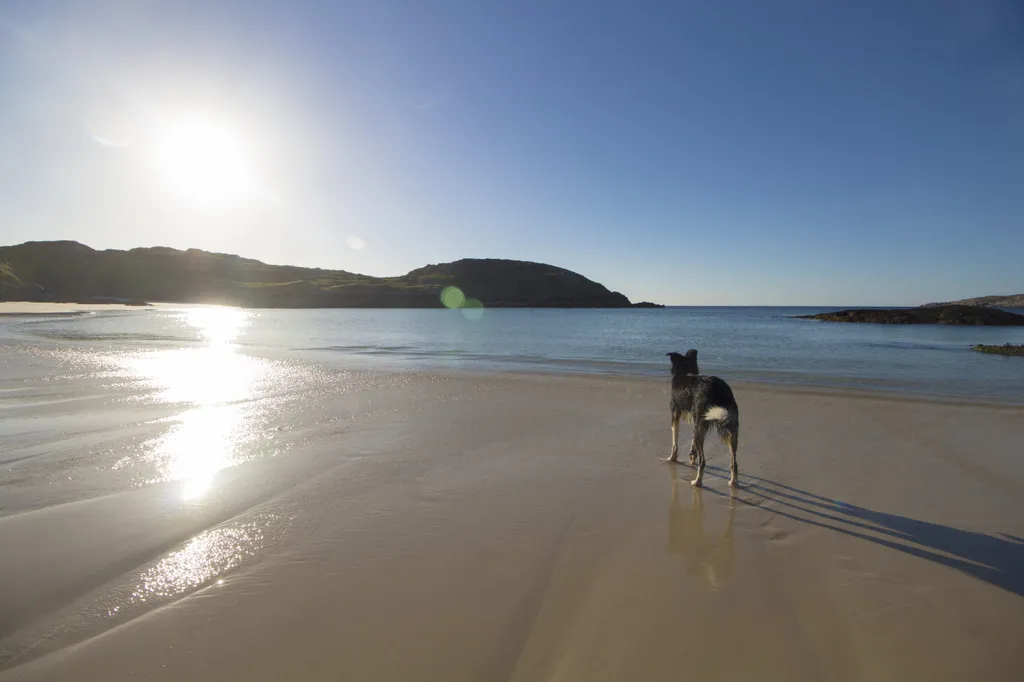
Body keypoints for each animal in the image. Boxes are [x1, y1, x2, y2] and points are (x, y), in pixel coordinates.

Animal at [667, 348, 741, 485]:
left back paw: (697, 482)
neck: (685, 371)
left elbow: (675, 440)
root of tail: (717, 389)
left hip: (705, 422)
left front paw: (671, 458)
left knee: (703, 461)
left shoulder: (675, 412)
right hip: (732, 427)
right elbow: (692, 439)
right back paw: (733, 482)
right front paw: (692, 455)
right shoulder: (695, 419)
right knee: (734, 462)